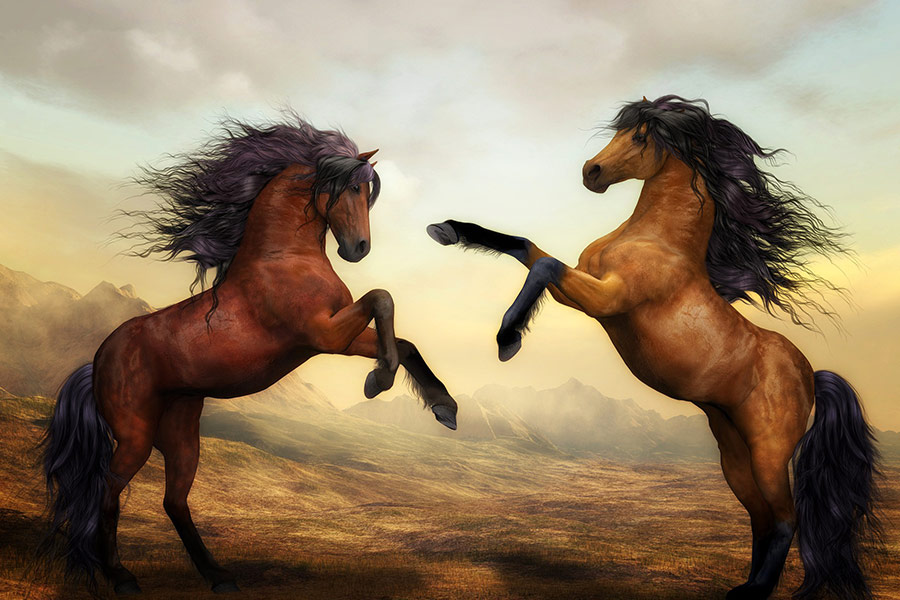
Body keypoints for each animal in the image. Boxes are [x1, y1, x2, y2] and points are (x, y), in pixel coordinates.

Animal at [41, 115, 458, 595]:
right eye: (351, 188)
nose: (358, 249)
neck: (284, 257)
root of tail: (97, 361)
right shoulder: (323, 334)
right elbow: (382, 299)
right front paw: (379, 381)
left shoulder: (333, 336)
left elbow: (402, 340)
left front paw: (442, 406)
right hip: (135, 436)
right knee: (108, 492)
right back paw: (120, 576)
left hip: (181, 431)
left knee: (174, 501)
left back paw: (218, 575)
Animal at [427, 96, 880, 600]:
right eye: (619, 131)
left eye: (642, 137)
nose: (591, 172)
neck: (657, 241)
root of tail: (811, 375)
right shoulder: (581, 292)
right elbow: (526, 247)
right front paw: (447, 229)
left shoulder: (607, 300)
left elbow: (544, 265)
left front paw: (508, 338)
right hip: (734, 450)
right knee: (761, 518)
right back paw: (742, 585)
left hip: (769, 450)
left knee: (785, 519)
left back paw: (754, 591)